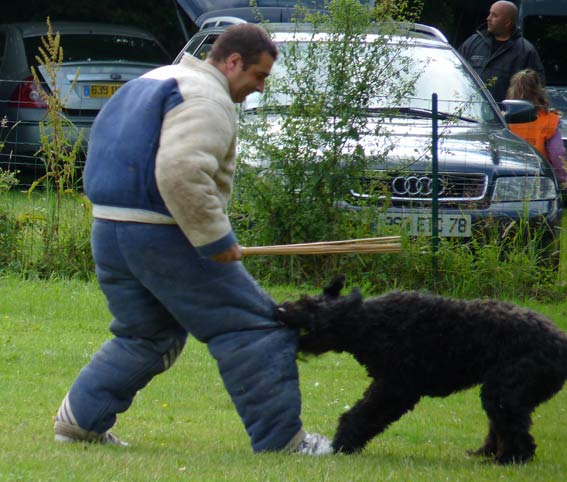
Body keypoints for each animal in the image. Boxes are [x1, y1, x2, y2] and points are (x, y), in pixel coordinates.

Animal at [278, 276, 567, 466]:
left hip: (505, 392)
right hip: (504, 394)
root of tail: (561, 343)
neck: (368, 323)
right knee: (502, 426)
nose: (281, 309)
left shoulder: (395, 387)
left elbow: (362, 414)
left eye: (309, 306)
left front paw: (342, 443)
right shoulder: (387, 384)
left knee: (517, 433)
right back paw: (486, 453)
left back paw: (508, 459)